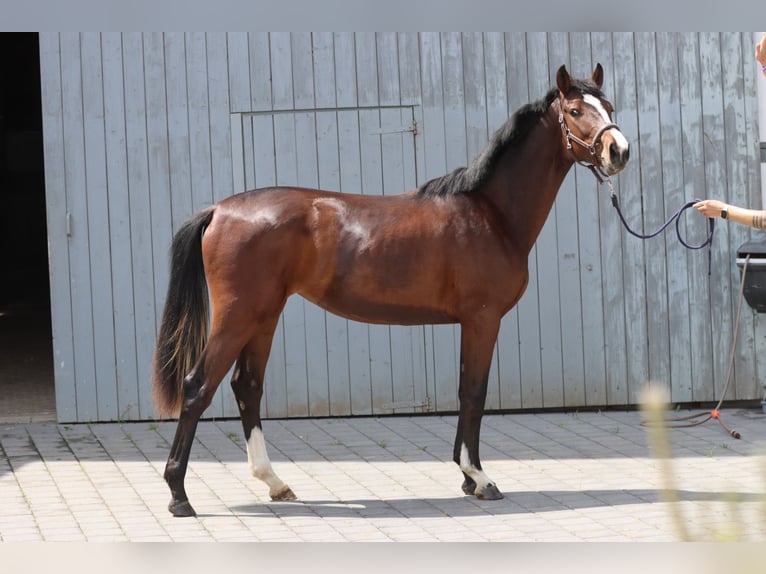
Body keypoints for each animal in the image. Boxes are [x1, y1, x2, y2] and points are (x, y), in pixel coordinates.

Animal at [152, 64, 630, 517]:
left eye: (608, 106)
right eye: (575, 111)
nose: (619, 151)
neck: (490, 214)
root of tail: (219, 210)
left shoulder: (471, 322)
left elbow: (465, 392)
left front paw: (465, 477)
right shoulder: (482, 318)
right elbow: (474, 394)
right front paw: (480, 478)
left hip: (264, 316)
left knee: (247, 387)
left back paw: (275, 483)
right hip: (238, 316)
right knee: (198, 387)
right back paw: (178, 496)